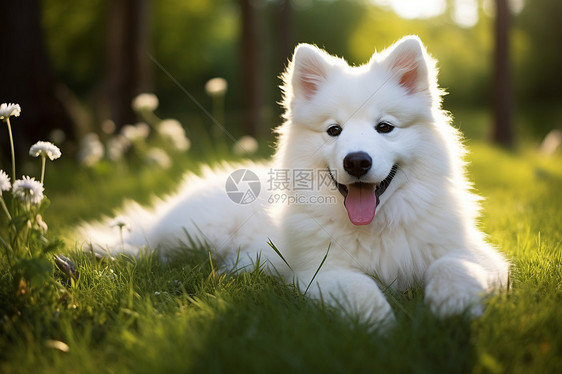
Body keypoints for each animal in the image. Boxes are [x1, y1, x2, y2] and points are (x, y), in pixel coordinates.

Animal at [82, 36, 508, 326]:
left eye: (385, 127)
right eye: (334, 130)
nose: (357, 161)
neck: (376, 229)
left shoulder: (477, 254)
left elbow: (454, 267)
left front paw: (452, 307)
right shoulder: (318, 272)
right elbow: (361, 288)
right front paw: (382, 326)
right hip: (198, 233)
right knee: (154, 247)